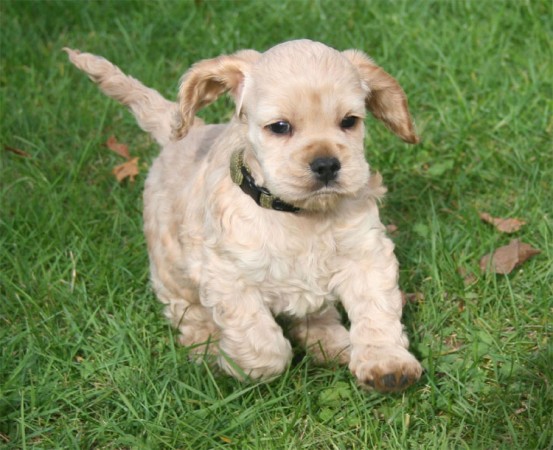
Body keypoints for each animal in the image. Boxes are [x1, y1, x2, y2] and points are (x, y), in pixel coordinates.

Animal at [67, 39, 424, 394]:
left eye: (349, 121)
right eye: (280, 127)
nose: (326, 165)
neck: (298, 214)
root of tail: (187, 134)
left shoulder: (366, 253)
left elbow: (376, 310)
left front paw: (387, 363)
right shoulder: (226, 275)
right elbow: (264, 345)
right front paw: (236, 364)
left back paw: (332, 342)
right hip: (169, 263)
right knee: (186, 309)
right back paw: (206, 344)